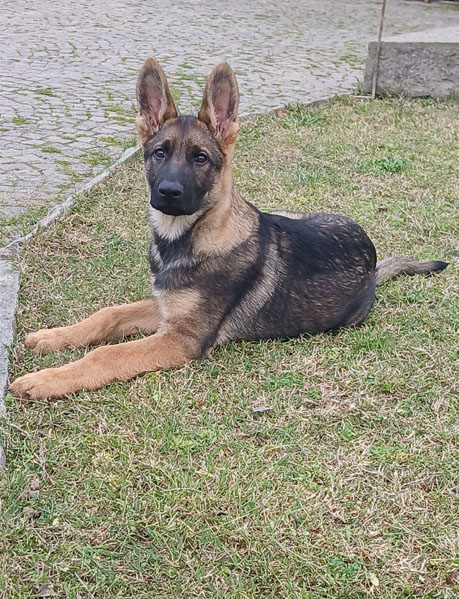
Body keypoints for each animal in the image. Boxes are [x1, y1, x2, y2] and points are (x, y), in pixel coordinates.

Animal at [10, 58, 448, 400]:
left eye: (201, 158)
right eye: (159, 153)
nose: (168, 193)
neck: (191, 237)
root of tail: (373, 263)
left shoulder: (184, 338)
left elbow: (107, 353)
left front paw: (45, 380)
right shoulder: (166, 308)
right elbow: (108, 314)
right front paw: (53, 337)